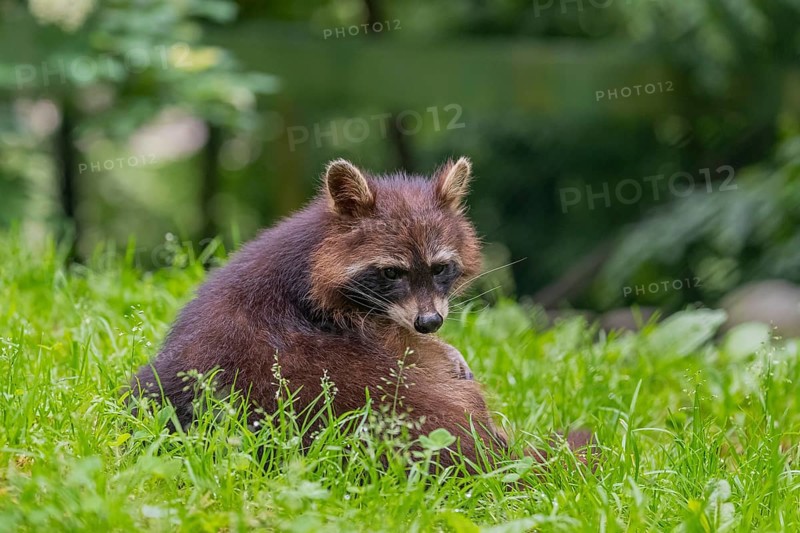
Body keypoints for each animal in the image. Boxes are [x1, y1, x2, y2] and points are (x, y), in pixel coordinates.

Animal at [132, 157, 509, 466]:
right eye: (391, 273)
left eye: (440, 268)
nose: (430, 323)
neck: (310, 258)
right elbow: (410, 348)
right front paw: (443, 350)